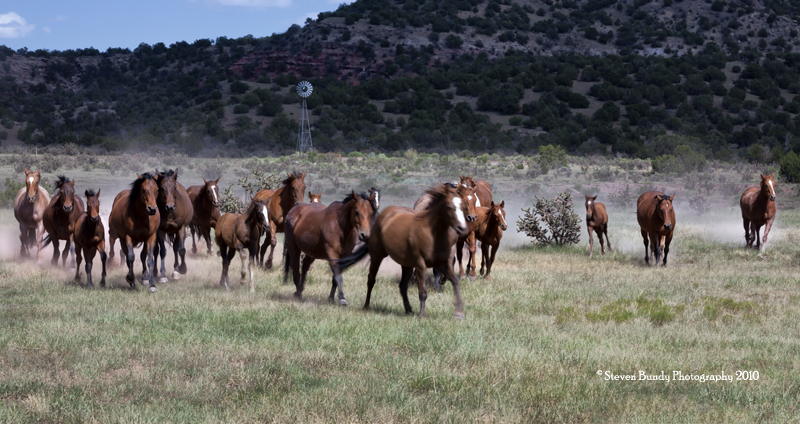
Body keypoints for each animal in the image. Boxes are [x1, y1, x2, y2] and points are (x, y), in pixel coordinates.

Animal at [340, 185, 476, 318]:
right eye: (449, 207)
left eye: (463, 206)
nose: (462, 228)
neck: (432, 234)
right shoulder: (421, 265)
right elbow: (423, 291)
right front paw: (422, 315)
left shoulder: (443, 263)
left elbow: (455, 282)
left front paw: (459, 312)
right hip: (377, 256)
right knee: (371, 280)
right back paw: (366, 306)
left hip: (406, 264)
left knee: (402, 286)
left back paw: (408, 310)